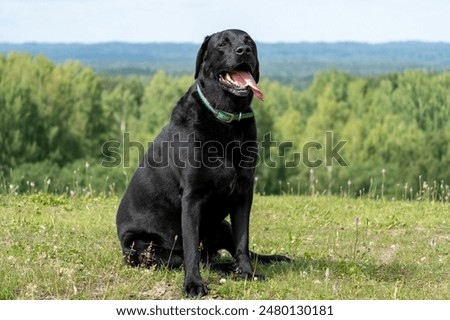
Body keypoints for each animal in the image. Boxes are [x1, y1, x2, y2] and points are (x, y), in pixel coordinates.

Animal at [116, 28, 290, 296]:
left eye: (249, 42)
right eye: (222, 44)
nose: (244, 51)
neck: (226, 119)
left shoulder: (243, 194)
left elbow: (243, 243)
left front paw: (247, 274)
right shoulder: (192, 198)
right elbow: (191, 251)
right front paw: (194, 284)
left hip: (222, 224)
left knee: (233, 252)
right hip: (143, 247)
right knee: (194, 258)